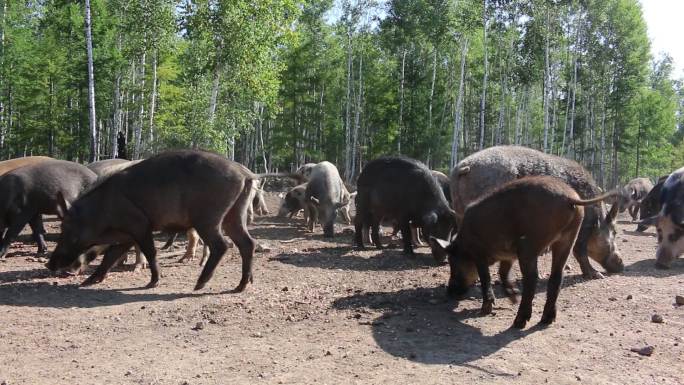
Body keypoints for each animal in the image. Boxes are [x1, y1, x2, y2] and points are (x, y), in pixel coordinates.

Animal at [46, 150, 262, 292]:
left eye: (66, 228)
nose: (50, 264)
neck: (102, 209)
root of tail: (245, 173)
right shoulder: (127, 234)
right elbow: (110, 255)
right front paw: (88, 282)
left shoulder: (140, 225)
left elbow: (150, 252)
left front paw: (153, 282)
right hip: (235, 214)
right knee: (247, 243)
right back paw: (242, 285)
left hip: (209, 218)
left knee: (222, 245)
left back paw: (199, 285)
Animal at [436, 176, 616, 328]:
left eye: (453, 262)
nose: (449, 291)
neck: (464, 243)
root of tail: (568, 197)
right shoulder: (508, 256)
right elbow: (503, 273)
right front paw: (513, 296)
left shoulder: (479, 252)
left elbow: (486, 278)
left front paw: (486, 310)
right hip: (567, 239)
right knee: (557, 276)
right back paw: (546, 320)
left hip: (530, 244)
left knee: (532, 279)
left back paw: (519, 322)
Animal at [452, 146, 624, 278]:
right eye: (614, 232)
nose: (622, 265)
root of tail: (463, 167)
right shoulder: (584, 226)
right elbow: (579, 251)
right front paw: (596, 275)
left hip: (460, 214)